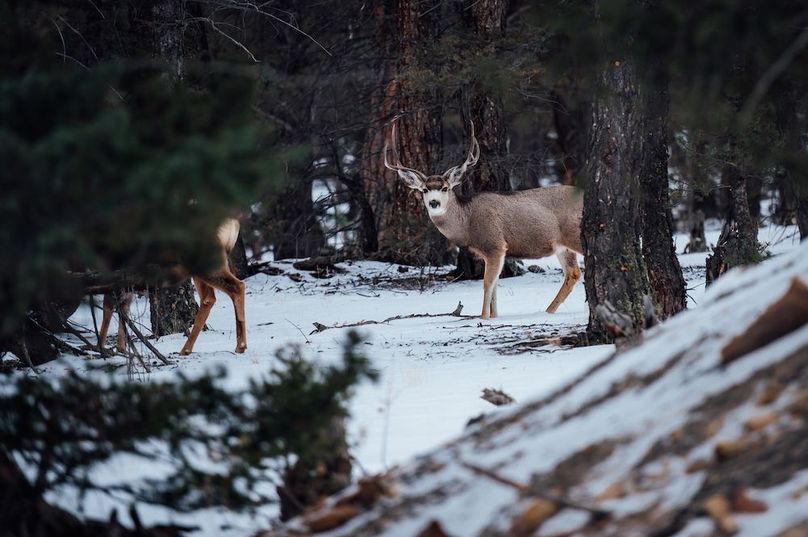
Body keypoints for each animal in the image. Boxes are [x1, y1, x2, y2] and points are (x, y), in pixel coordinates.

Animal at [97, 218, 247, 355]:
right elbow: (123, 312)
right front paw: (121, 349)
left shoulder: (112, 276)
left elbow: (107, 311)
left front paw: (101, 349)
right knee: (210, 298)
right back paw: (188, 349)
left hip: (206, 261)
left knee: (237, 286)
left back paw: (240, 346)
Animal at [383, 119, 584, 319]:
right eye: (424, 189)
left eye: (445, 188)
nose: (434, 202)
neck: (467, 222)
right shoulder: (494, 252)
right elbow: (494, 287)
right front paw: (494, 316)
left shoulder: (494, 245)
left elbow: (487, 283)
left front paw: (483, 317)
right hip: (562, 246)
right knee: (573, 273)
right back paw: (548, 311)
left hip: (574, 235)